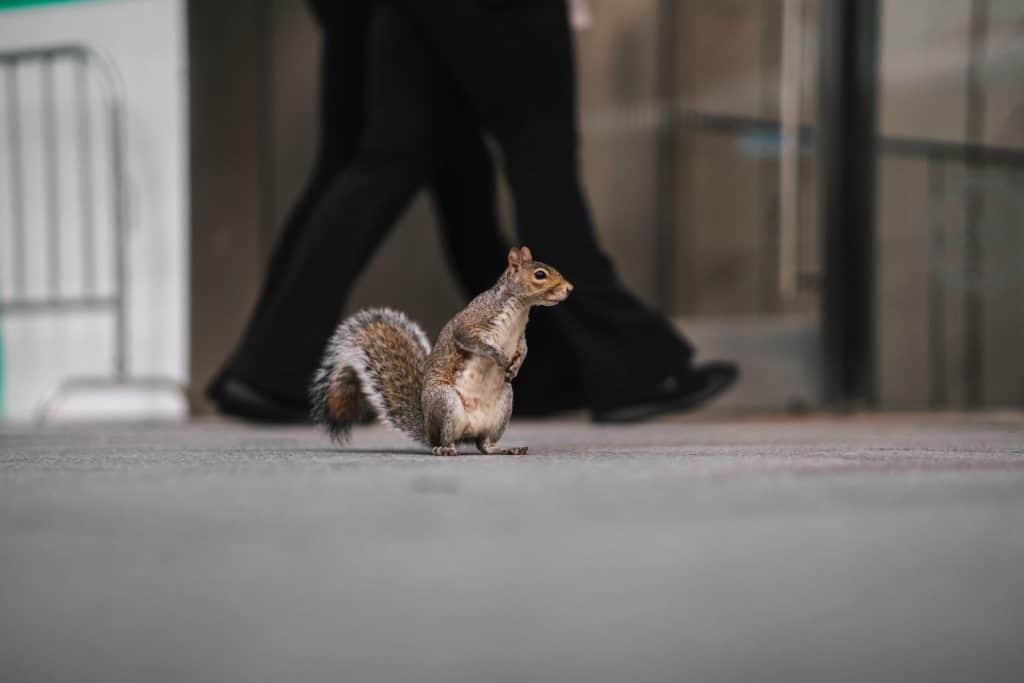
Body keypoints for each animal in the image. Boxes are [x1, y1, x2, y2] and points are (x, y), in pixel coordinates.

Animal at [310, 246, 573, 456]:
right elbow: (473, 340)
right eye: (540, 275)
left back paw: (502, 448)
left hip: (503, 406)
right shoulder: (472, 322)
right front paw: (499, 356)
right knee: (446, 439)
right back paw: (445, 448)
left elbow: (524, 348)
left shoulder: (520, 336)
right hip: (445, 402)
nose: (569, 289)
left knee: (483, 445)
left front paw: (516, 365)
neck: (520, 309)